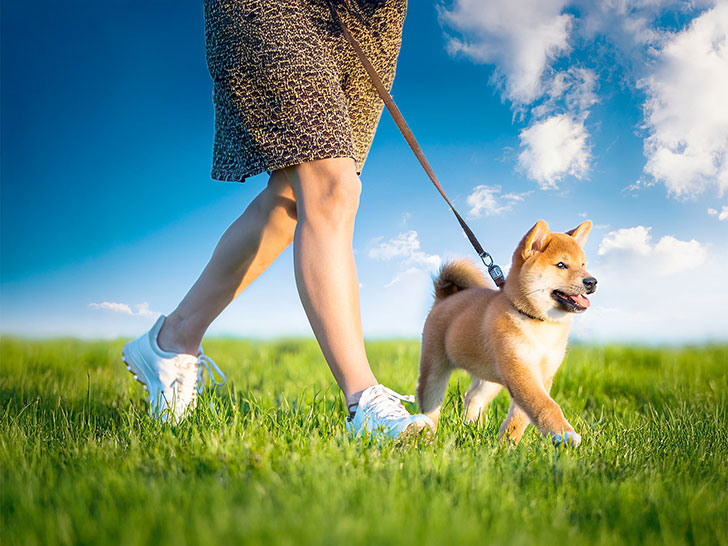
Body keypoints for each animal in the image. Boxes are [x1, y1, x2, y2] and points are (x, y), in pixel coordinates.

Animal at [416, 219, 596, 444]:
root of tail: (444, 296)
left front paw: (507, 444)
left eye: (583, 265)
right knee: (430, 402)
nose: (592, 281)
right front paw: (565, 434)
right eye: (561, 265)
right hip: (435, 367)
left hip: (491, 375)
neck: (538, 322)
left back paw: (472, 428)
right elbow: (546, 405)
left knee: (473, 397)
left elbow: (520, 417)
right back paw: (428, 436)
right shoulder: (520, 370)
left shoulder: (541, 375)